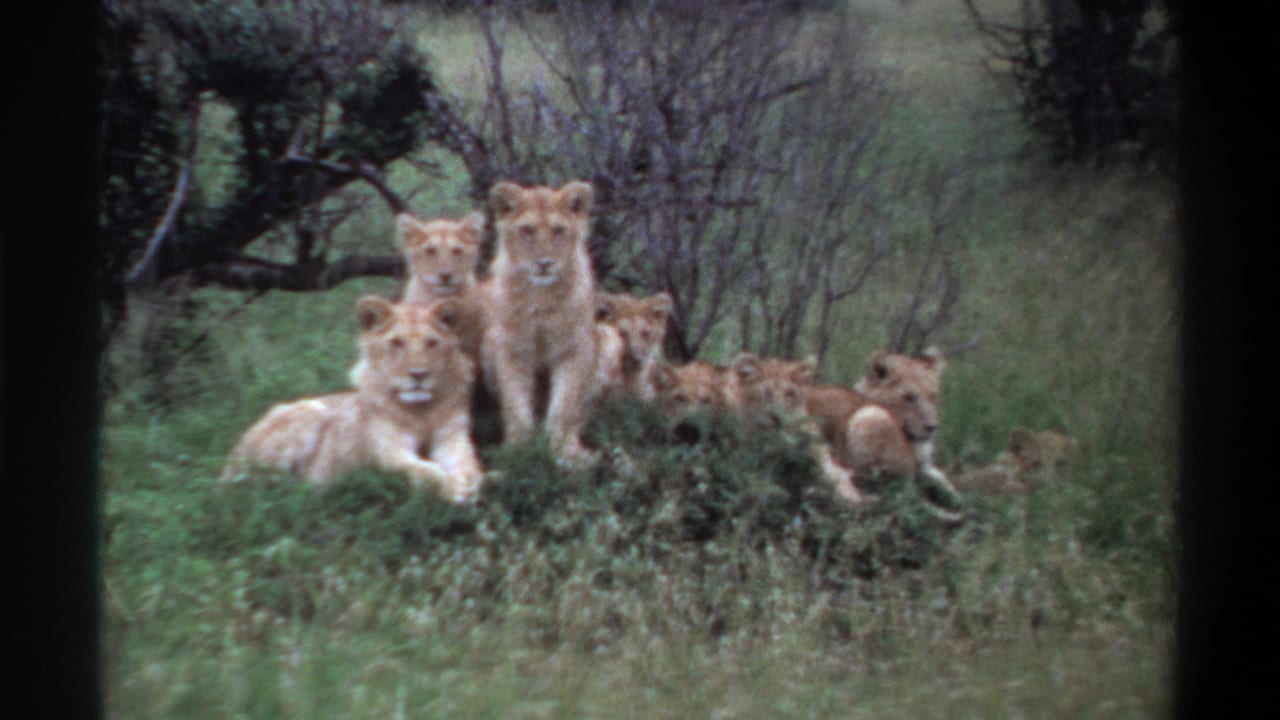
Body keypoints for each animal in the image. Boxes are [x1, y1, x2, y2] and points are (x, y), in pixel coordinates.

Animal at [220, 296, 484, 502]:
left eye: (432, 343)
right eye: (396, 343)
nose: (418, 374)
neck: (421, 410)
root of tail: (231, 458)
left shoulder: (452, 438)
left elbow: (467, 463)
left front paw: (473, 480)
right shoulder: (388, 452)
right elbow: (423, 470)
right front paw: (455, 487)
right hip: (310, 411)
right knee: (258, 486)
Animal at [481, 180, 600, 466]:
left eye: (558, 231)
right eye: (527, 230)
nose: (544, 264)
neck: (541, 297)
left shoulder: (574, 350)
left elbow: (564, 407)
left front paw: (562, 452)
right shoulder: (511, 350)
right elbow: (516, 405)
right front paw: (519, 452)